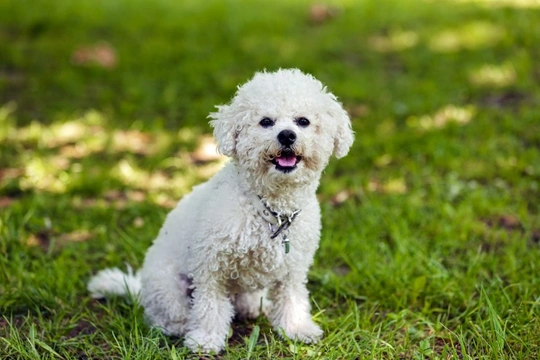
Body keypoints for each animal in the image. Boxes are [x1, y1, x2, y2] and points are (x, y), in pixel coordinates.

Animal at [88, 67, 354, 352]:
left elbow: (292, 299)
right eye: (266, 122)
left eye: (303, 121)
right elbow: (210, 306)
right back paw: (178, 326)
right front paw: (205, 339)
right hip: (167, 287)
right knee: (167, 314)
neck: (271, 209)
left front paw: (297, 328)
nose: (287, 135)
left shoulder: (293, 270)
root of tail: (140, 287)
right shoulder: (210, 267)